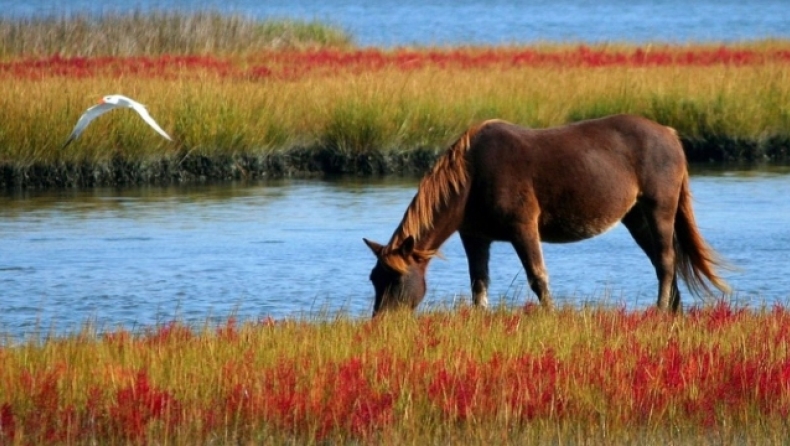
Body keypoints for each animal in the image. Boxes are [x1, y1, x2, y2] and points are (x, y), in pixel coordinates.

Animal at [366, 115, 732, 318]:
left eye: (396, 279)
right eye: (374, 279)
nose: (381, 322)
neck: (472, 176)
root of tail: (670, 134)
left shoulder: (523, 228)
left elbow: (538, 277)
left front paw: (550, 315)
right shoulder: (475, 236)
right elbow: (478, 283)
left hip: (659, 208)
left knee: (667, 261)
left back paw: (659, 310)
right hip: (636, 218)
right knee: (661, 261)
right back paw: (673, 310)